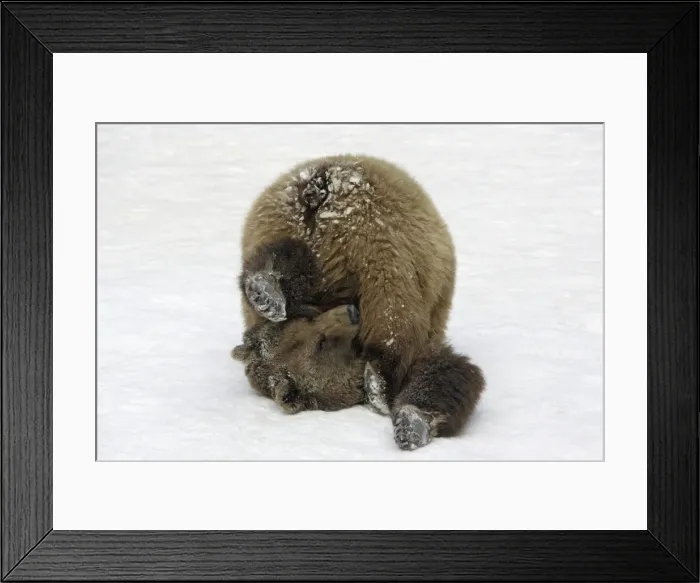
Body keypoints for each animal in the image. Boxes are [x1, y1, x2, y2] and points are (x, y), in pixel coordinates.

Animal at [231, 304, 485, 451]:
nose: (352, 311)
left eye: (307, 319)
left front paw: (412, 421)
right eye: (320, 343)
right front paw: (410, 425)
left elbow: (442, 373)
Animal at [238, 154, 456, 395]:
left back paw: (265, 292)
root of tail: (320, 191)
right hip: (378, 244)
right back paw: (379, 380)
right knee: (393, 313)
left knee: (283, 259)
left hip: (277, 225)